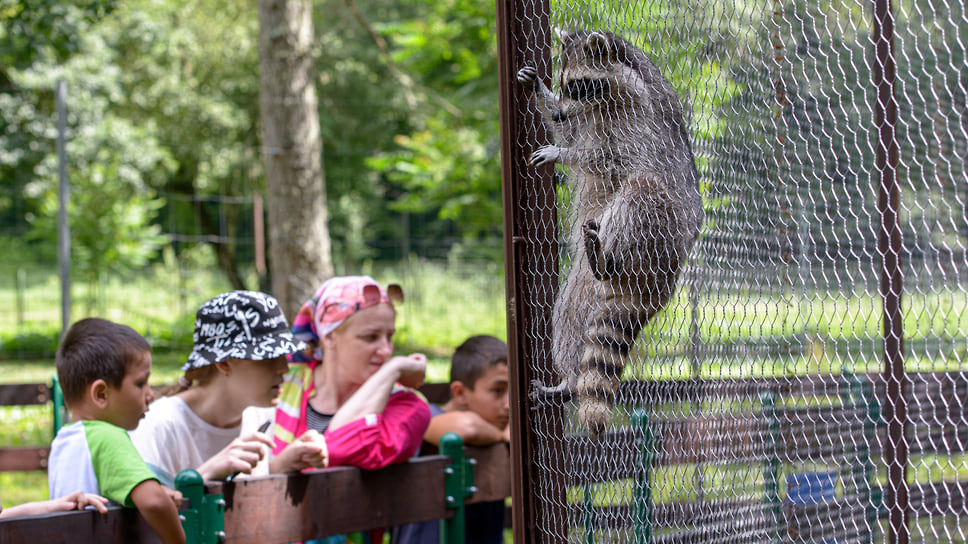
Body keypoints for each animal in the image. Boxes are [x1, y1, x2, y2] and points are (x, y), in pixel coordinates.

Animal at [520, 29, 704, 440]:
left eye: (579, 84)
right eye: (563, 84)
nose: (559, 111)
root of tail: (663, 282)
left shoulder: (637, 119)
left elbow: (608, 157)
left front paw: (565, 153)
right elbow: (574, 131)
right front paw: (542, 97)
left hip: (659, 233)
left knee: (641, 189)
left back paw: (607, 256)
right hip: (583, 286)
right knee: (570, 316)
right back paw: (569, 381)